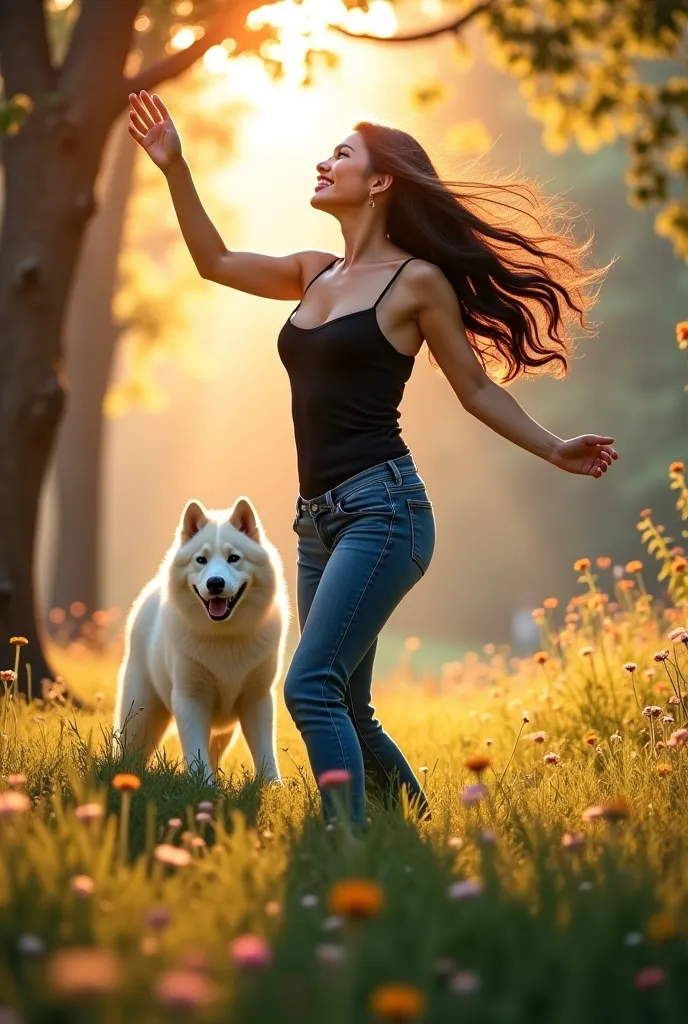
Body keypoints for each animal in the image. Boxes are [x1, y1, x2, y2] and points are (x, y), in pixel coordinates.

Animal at [112, 499, 286, 778]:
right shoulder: (190, 699)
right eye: (201, 560)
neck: (224, 636)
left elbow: (265, 754)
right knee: (131, 751)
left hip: (222, 732)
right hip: (141, 714)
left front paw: (272, 786)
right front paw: (203, 785)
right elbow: (196, 754)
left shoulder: (258, 699)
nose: (215, 583)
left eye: (233, 558)